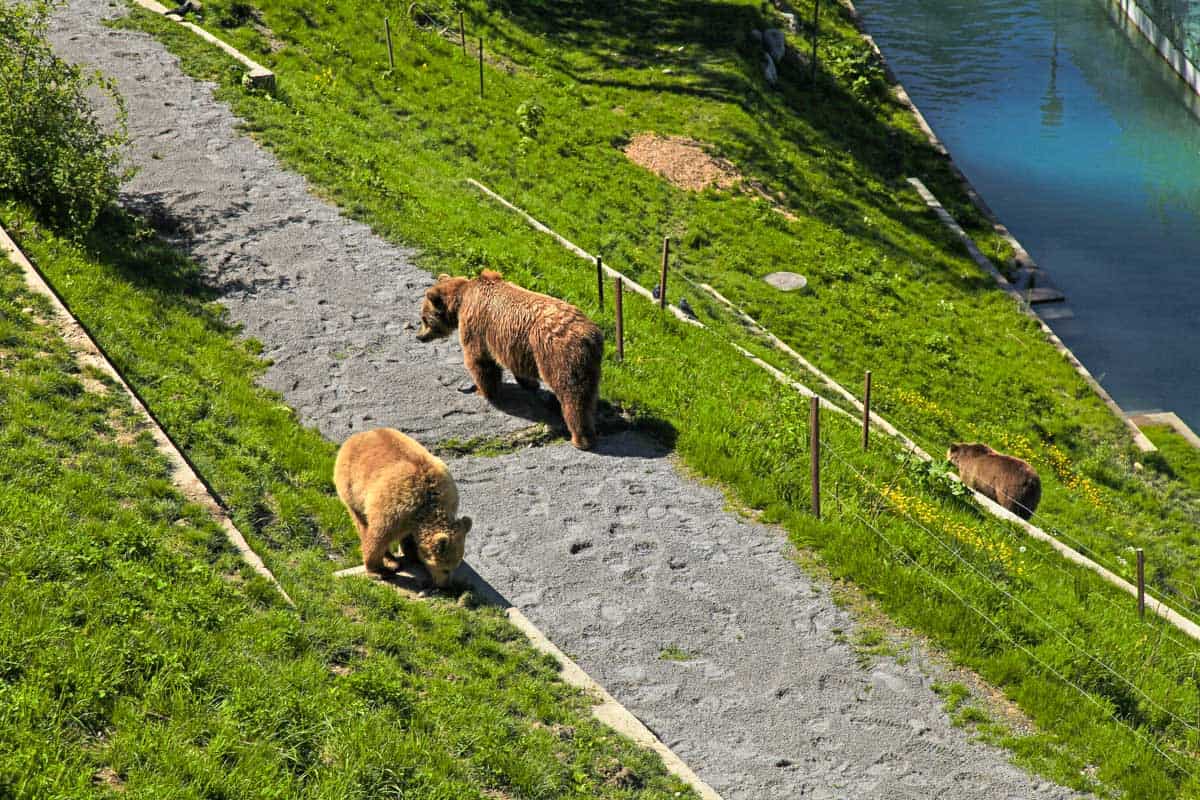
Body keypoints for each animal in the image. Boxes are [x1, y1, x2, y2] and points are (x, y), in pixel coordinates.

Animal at [334, 427, 472, 587]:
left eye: (455, 566)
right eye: (445, 569)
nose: (446, 585)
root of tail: (358, 435)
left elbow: (409, 537)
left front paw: (413, 554)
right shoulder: (392, 510)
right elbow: (378, 537)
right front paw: (377, 571)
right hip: (352, 489)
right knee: (362, 523)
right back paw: (390, 561)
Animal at [415, 270, 604, 450]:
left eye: (424, 318)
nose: (419, 337)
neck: (460, 300)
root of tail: (587, 336)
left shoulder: (476, 326)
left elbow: (480, 360)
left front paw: (483, 391)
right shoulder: (515, 345)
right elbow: (516, 365)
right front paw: (529, 383)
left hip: (558, 356)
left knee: (572, 395)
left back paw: (580, 439)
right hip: (589, 364)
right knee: (588, 395)